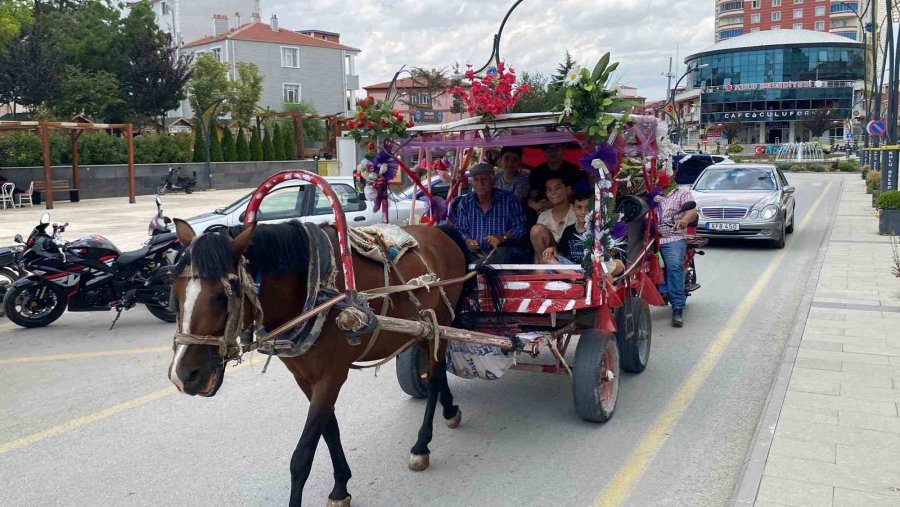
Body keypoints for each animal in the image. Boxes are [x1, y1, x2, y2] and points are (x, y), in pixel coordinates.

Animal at [166, 219, 472, 507]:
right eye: (175, 292)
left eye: (222, 296)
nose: (183, 376)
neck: (312, 292)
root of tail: (441, 231)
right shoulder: (305, 378)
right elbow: (329, 430)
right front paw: (340, 487)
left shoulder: (331, 376)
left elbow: (302, 456)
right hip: (423, 329)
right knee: (436, 369)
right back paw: (449, 410)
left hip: (441, 321)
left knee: (435, 377)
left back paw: (422, 445)